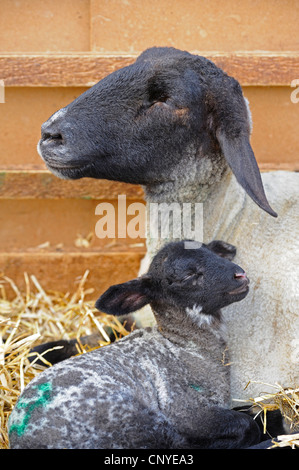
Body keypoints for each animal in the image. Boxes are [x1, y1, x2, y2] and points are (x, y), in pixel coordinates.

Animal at [7, 241, 262, 450]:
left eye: (214, 253)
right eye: (187, 276)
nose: (240, 275)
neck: (186, 348)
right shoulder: (184, 409)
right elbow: (245, 424)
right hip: (130, 420)